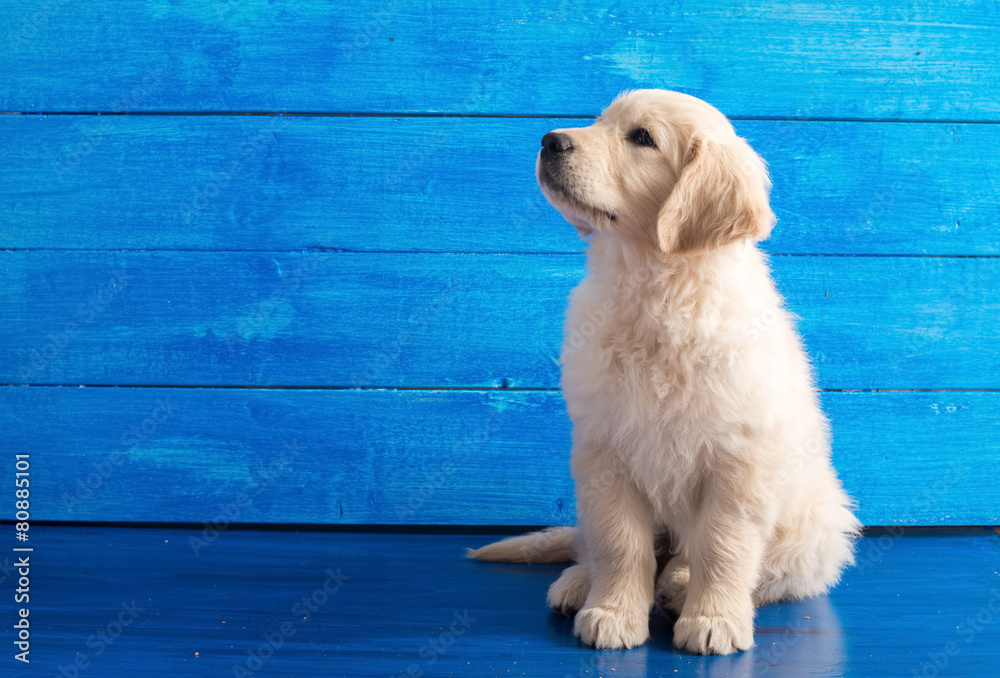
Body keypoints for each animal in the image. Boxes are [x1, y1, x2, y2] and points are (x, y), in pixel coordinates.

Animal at [468, 91, 860, 660]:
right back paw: (580, 583)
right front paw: (612, 612)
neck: (653, 285)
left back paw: (678, 586)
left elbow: (723, 546)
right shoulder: (604, 447)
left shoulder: (739, 458)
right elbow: (618, 543)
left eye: (642, 138)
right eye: (600, 122)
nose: (549, 140)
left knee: (759, 568)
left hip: (815, 524)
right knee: (596, 545)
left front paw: (713, 618)